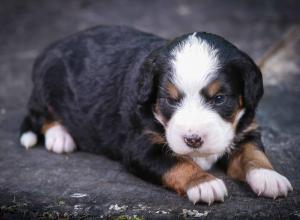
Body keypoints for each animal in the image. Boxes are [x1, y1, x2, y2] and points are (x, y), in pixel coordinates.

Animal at [19, 25, 292, 205]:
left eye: (219, 99)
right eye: (169, 100)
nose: (193, 140)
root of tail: (54, 45)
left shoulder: (246, 129)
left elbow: (253, 154)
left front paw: (269, 177)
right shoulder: (141, 146)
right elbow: (177, 162)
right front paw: (204, 182)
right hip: (45, 86)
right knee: (39, 115)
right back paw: (60, 137)